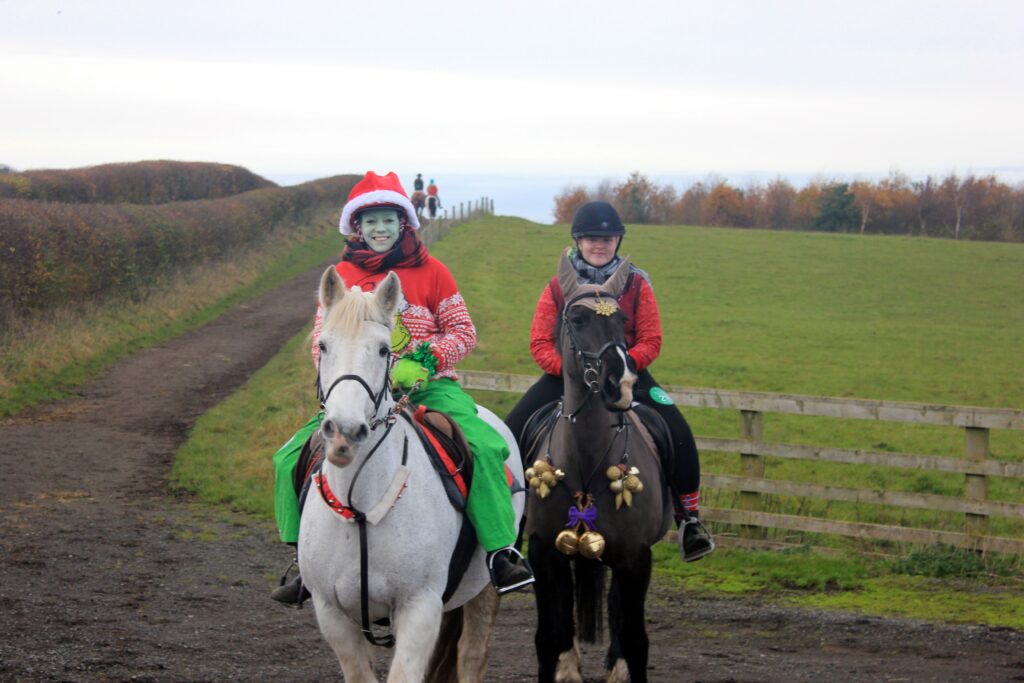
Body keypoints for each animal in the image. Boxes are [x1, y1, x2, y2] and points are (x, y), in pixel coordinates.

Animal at [299, 268, 528, 683]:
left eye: (383, 350)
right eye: (322, 345)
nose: (344, 432)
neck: (362, 507)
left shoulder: (419, 608)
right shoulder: (332, 615)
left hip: (484, 589)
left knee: (472, 656)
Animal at [524, 252, 675, 683]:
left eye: (621, 319)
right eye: (576, 320)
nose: (619, 384)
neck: (587, 461)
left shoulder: (635, 557)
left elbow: (636, 640)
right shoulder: (544, 552)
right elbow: (548, 638)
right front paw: (561, 667)